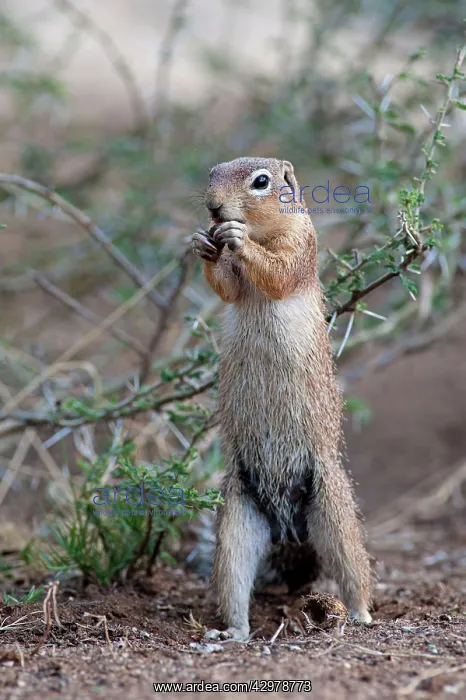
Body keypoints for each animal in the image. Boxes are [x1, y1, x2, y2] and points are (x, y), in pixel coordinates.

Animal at [191, 157, 372, 641]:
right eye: (211, 174)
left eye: (260, 182)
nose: (214, 208)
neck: (261, 231)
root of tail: (287, 530)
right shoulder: (235, 284)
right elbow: (227, 288)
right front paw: (205, 245)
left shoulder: (300, 245)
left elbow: (277, 272)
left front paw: (236, 240)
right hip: (237, 519)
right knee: (234, 582)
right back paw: (234, 631)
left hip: (333, 507)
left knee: (354, 569)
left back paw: (361, 614)